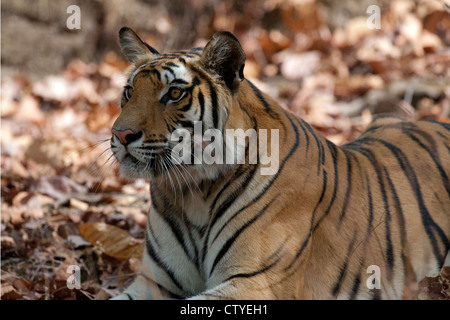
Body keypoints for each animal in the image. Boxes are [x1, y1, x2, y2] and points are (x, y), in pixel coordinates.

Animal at [110, 26, 450, 298]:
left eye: (174, 93)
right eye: (129, 91)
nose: (120, 133)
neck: (193, 192)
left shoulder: (256, 282)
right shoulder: (154, 283)